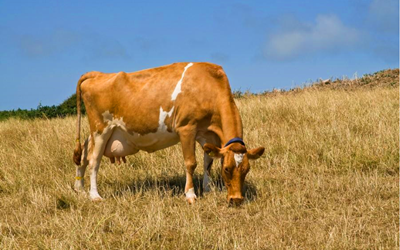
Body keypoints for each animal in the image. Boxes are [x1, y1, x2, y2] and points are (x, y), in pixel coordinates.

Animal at [72, 62, 266, 205]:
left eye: (247, 169)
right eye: (226, 169)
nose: (236, 199)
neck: (209, 84)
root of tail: (98, 74)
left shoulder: (208, 135)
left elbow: (208, 162)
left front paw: (208, 188)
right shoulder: (186, 128)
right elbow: (191, 163)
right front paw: (190, 195)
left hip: (99, 132)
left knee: (83, 154)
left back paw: (79, 188)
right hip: (101, 129)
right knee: (94, 160)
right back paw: (94, 195)